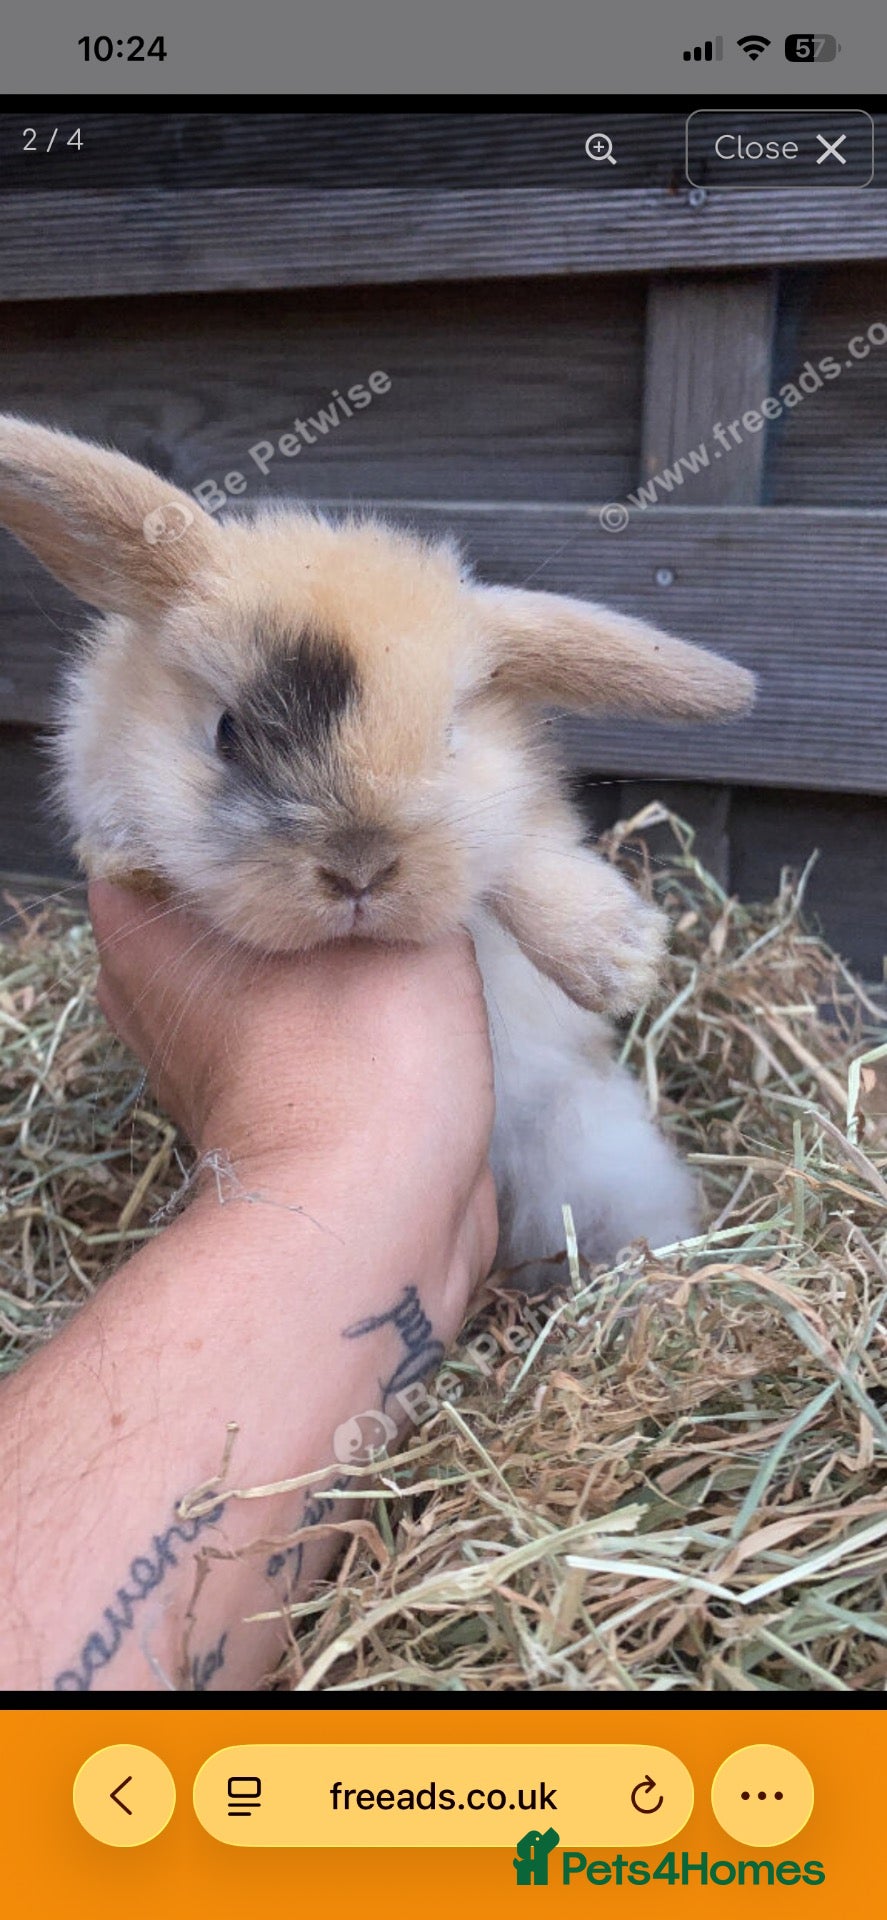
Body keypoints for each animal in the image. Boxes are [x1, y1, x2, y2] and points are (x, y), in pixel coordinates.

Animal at [0, 417, 755, 1288]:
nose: (358, 869)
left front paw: (619, 959)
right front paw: (129, 858)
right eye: (227, 733)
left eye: (450, 737)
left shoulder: (515, 811)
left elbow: (519, 853)